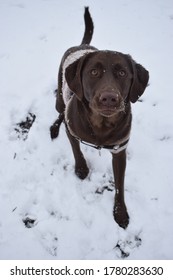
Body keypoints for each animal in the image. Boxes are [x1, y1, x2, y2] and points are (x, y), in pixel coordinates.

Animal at [50, 7, 149, 229]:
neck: (101, 126)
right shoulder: (72, 131)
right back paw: (54, 126)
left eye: (122, 73)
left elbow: (119, 185)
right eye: (94, 72)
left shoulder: (120, 150)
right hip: (60, 97)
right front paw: (81, 168)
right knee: (60, 111)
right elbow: (76, 150)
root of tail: (82, 45)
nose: (109, 98)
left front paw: (120, 212)